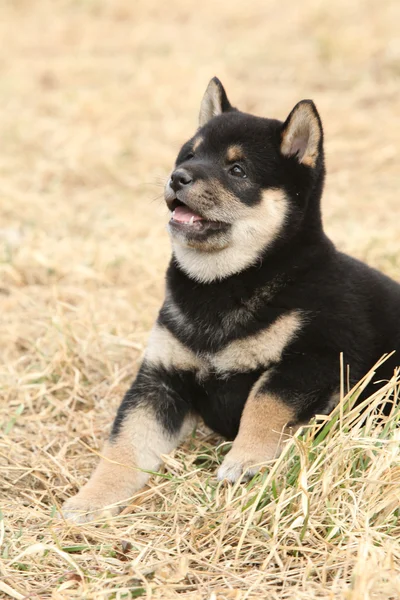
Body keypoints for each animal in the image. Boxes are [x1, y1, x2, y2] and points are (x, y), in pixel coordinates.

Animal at [61, 78, 400, 520]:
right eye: (190, 155)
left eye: (237, 170)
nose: (178, 177)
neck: (222, 284)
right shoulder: (161, 379)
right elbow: (125, 444)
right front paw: (92, 499)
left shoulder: (317, 357)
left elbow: (264, 403)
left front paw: (245, 460)